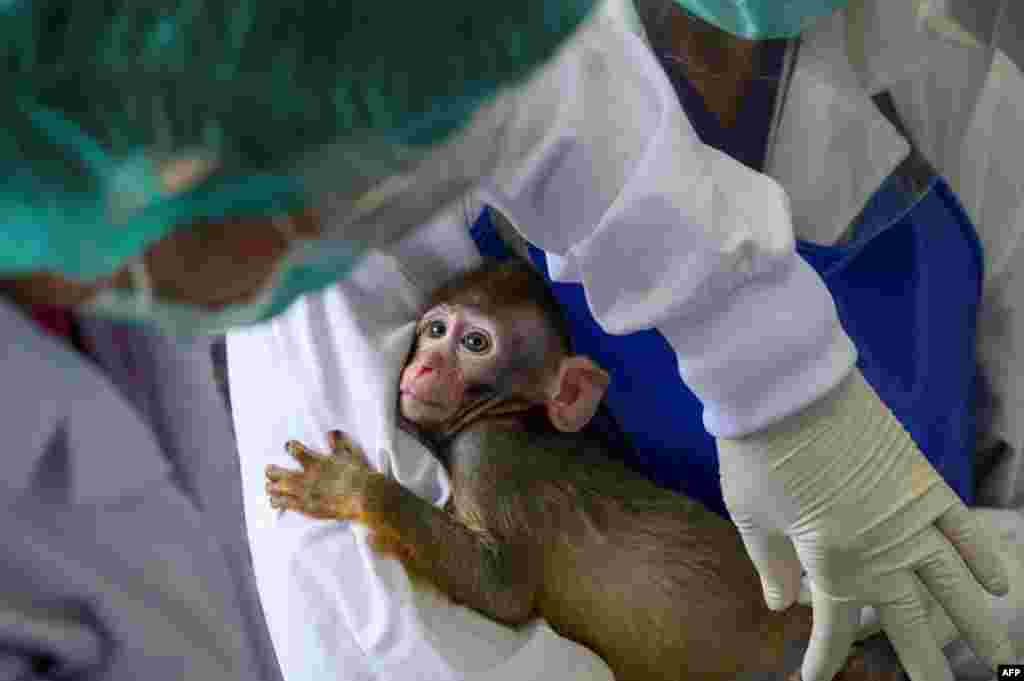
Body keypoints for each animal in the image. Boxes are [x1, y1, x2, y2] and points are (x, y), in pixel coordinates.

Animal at [268, 258, 901, 675]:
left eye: (474, 343)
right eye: (434, 330)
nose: (423, 367)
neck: (514, 417)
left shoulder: (487, 457)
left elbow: (503, 593)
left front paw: (352, 488)